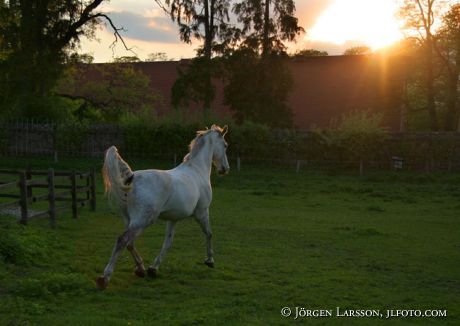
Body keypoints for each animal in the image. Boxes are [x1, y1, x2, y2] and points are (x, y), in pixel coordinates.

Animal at [99, 125, 232, 290]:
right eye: (225, 145)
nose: (225, 169)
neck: (197, 170)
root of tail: (132, 178)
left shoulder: (173, 219)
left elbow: (167, 243)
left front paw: (153, 269)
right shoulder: (202, 212)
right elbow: (209, 233)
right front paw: (210, 261)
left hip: (129, 219)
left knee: (129, 243)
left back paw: (141, 269)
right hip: (142, 221)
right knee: (122, 240)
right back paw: (105, 277)